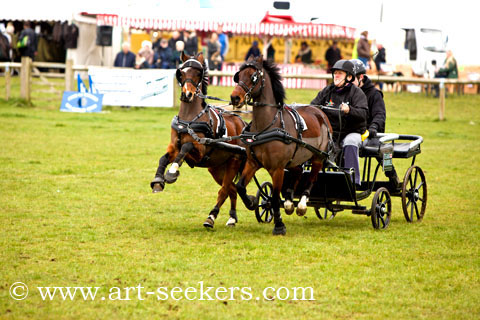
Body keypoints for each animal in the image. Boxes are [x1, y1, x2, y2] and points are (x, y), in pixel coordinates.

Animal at [151, 52, 248, 228]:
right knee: (232, 189)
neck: (189, 119)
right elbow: (164, 157)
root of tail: (242, 124)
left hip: (233, 162)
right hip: (216, 169)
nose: (187, 94)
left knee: (224, 190)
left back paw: (211, 217)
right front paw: (158, 180)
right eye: (181, 72)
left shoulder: (199, 151)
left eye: (198, 73)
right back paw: (232, 217)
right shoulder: (173, 147)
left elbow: (186, 147)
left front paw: (172, 172)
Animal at [231, 55, 332, 235]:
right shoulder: (252, 162)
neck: (267, 126)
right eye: (238, 75)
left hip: (318, 157)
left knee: (312, 178)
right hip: (295, 159)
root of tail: (320, 112)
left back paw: (301, 204)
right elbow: (240, 186)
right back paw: (290, 202)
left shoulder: (277, 169)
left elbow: (275, 198)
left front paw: (279, 225)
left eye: (253, 77)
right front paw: (251, 201)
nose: (235, 97)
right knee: (298, 172)